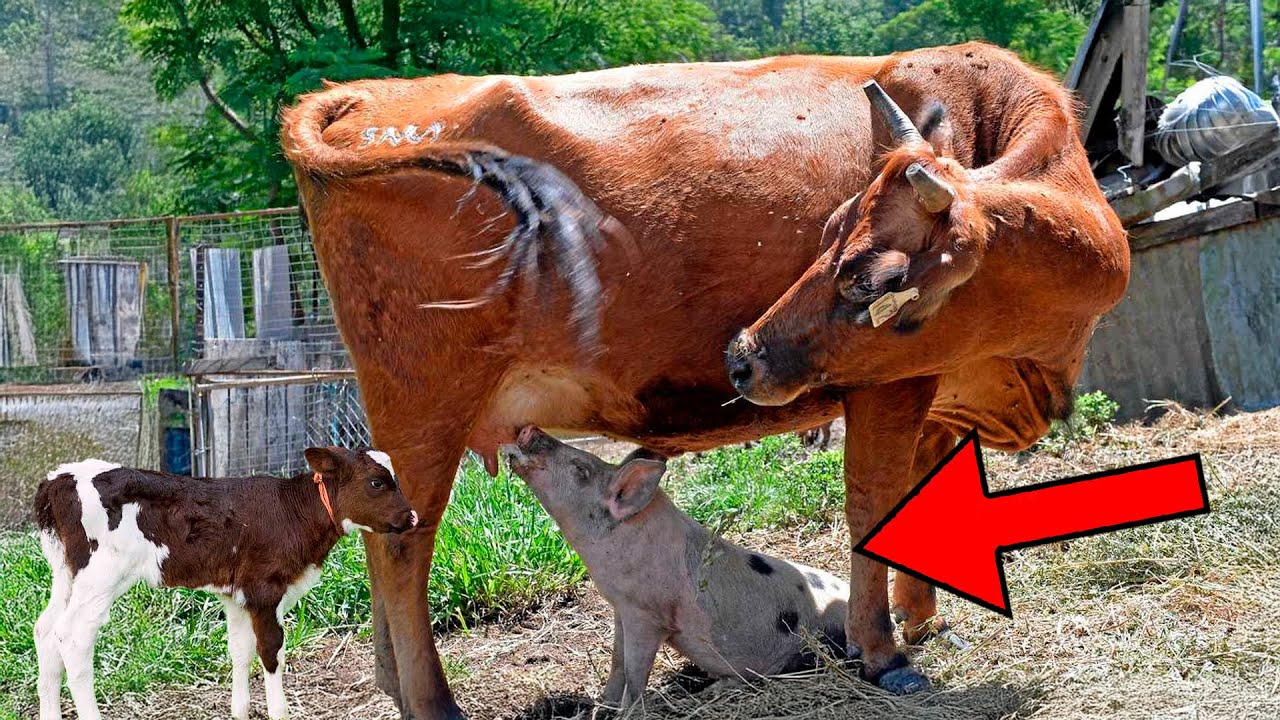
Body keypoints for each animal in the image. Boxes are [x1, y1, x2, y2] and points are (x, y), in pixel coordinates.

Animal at [32, 449, 418, 720]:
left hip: (65, 574)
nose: (412, 517)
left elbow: (239, 649)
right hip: (100, 575)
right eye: (377, 482)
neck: (294, 512)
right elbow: (271, 651)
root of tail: (58, 479)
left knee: (46, 630)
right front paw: (279, 711)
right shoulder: (265, 589)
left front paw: (239, 710)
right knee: (73, 637)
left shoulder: (237, 595)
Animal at [280, 42, 1127, 718]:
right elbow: (872, 505)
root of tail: (367, 96)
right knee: (403, 553)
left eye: (865, 273)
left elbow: (924, 491)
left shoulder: (941, 393)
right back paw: (432, 702)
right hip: (426, 406)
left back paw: (394, 686)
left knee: (378, 540)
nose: (741, 353)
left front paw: (921, 622)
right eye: (837, 246)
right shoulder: (890, 384)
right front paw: (883, 654)